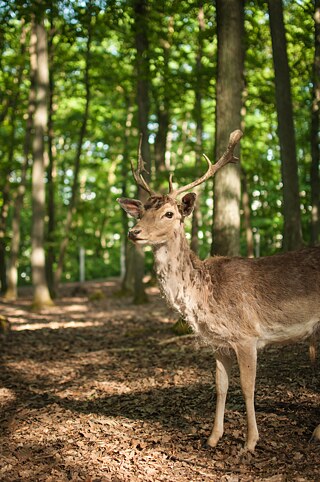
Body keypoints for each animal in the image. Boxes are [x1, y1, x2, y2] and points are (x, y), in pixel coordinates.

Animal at [117, 130, 320, 454]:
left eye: (169, 213)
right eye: (143, 211)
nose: (134, 232)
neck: (204, 297)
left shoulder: (248, 336)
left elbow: (248, 387)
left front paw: (250, 442)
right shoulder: (219, 343)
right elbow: (221, 387)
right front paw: (213, 437)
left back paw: (315, 433)